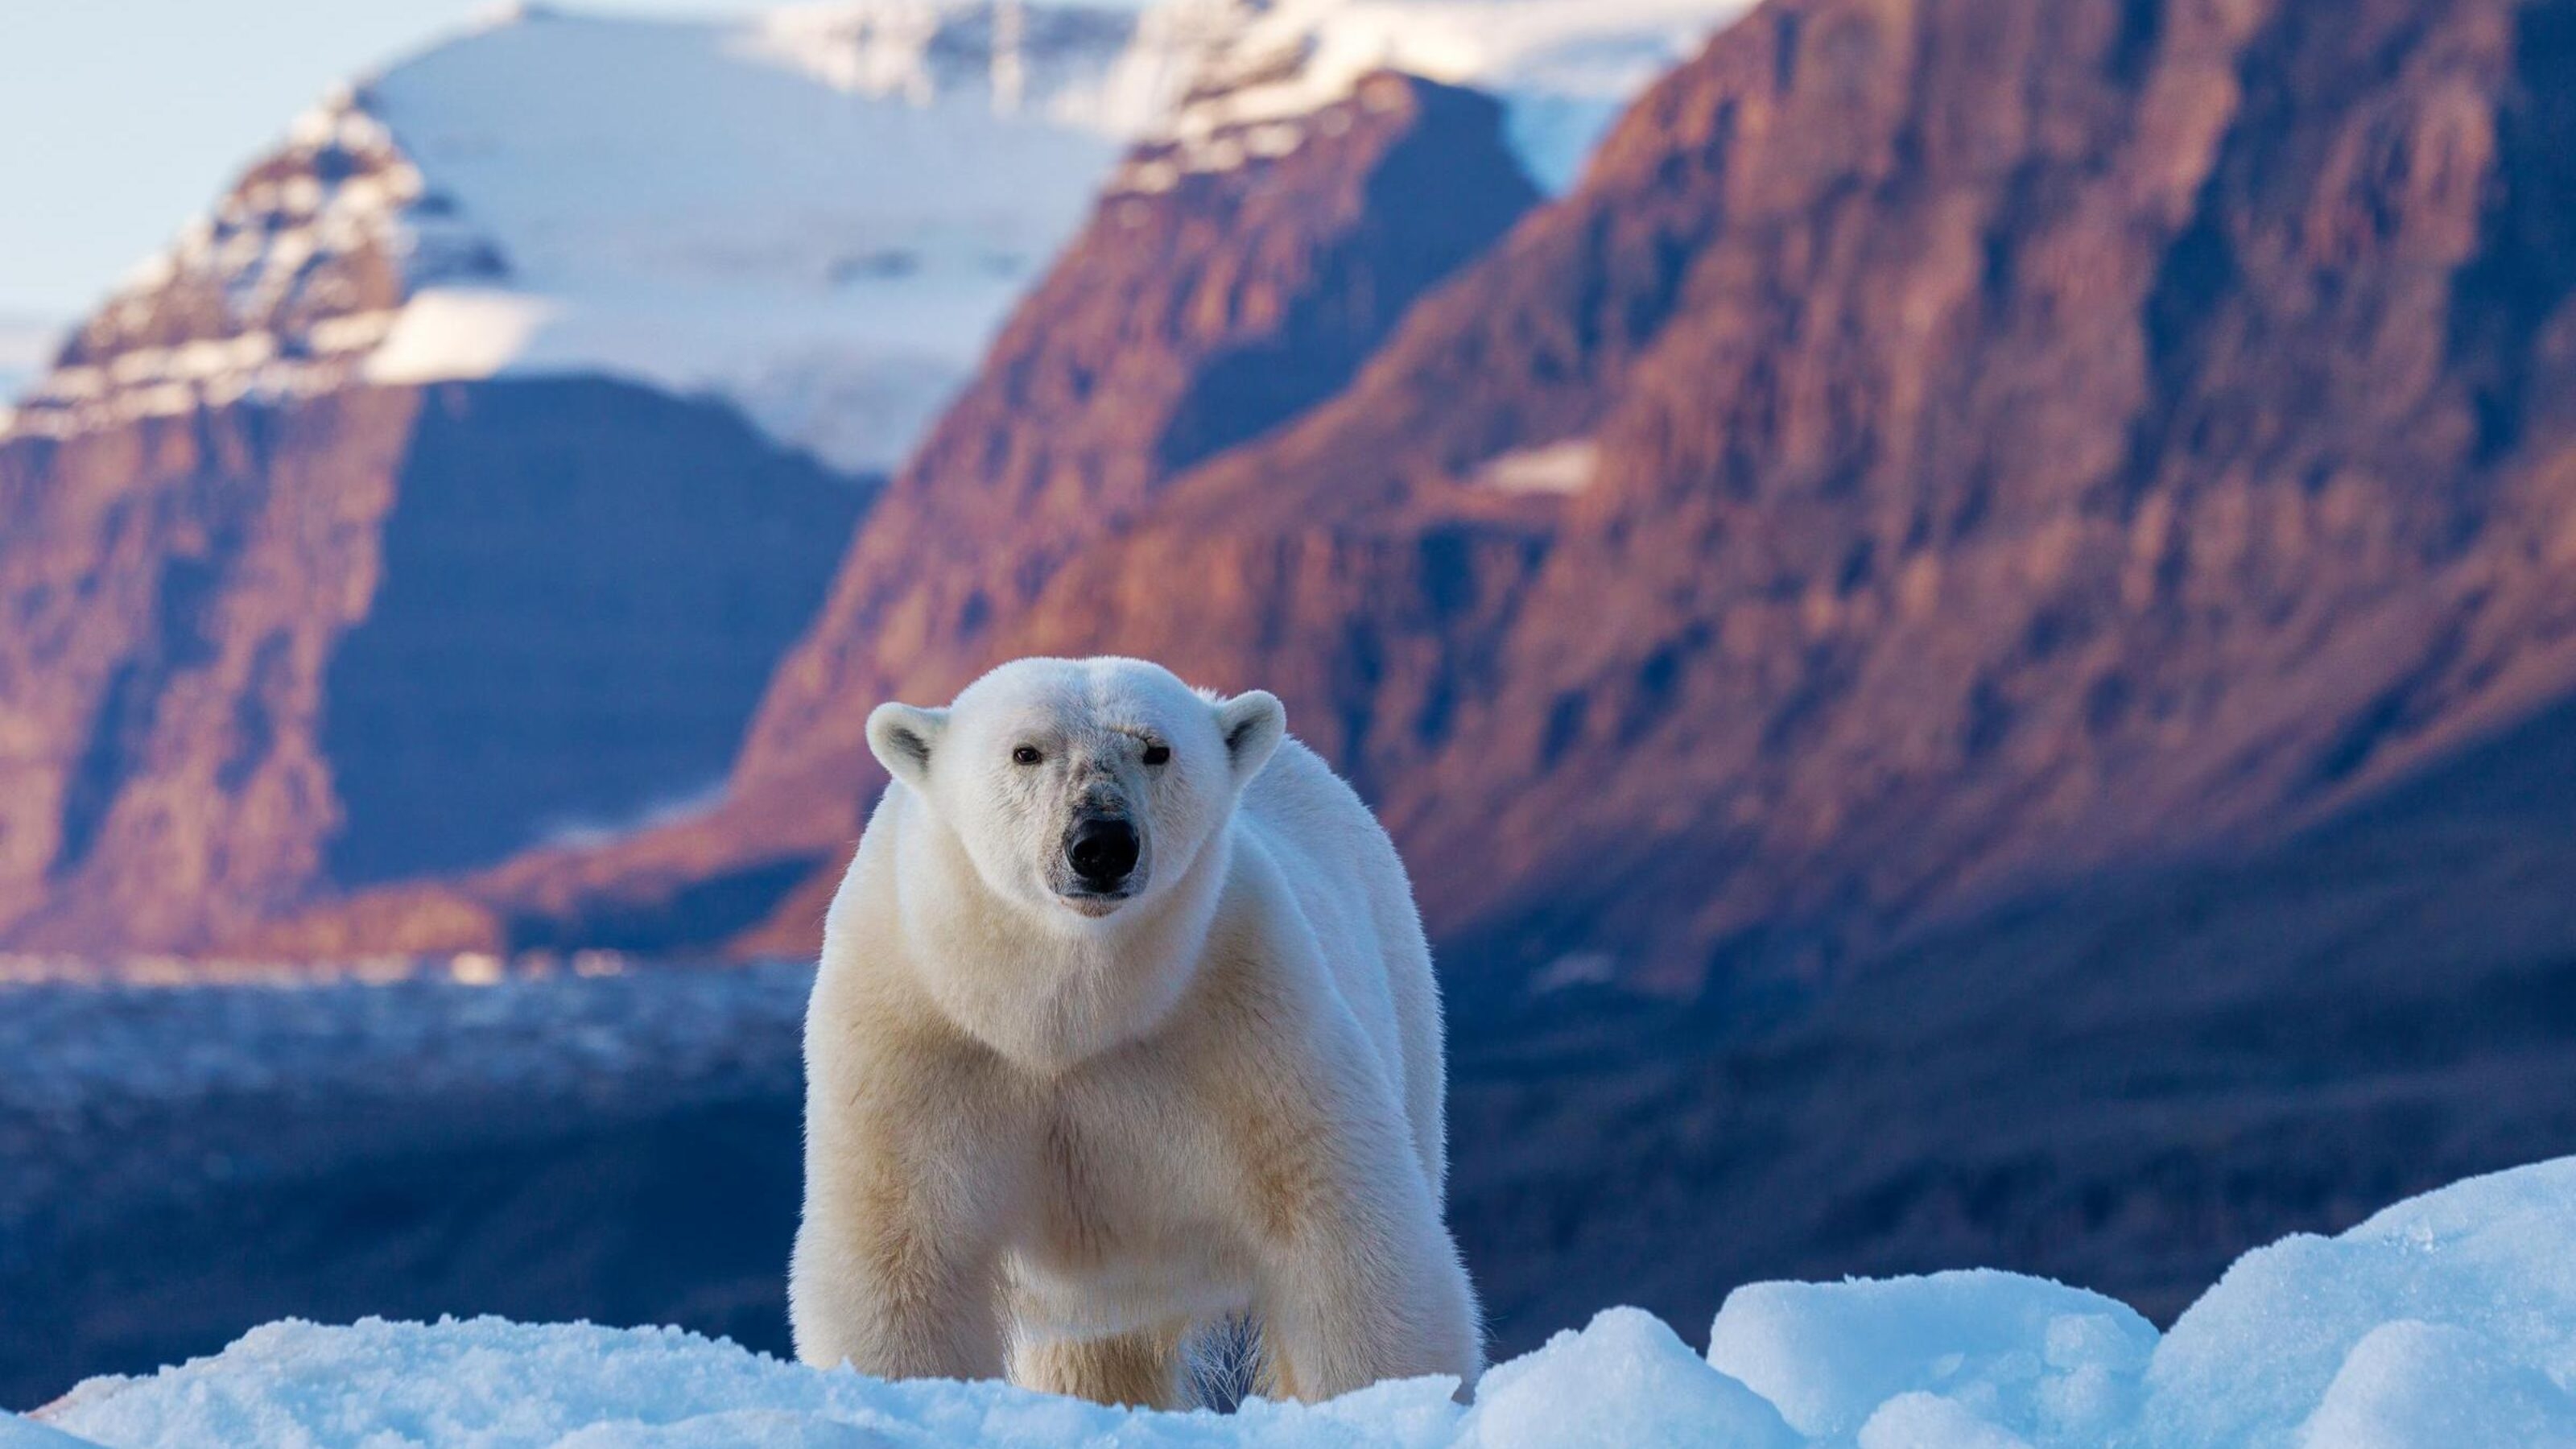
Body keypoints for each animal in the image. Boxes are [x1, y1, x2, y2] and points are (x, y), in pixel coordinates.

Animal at [788, 655, 1483, 1407]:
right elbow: (901, 1257)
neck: (1067, 1018)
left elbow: (1342, 1235)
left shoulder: (1249, 1015)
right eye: (1026, 751)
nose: (1101, 844)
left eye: (1157, 750)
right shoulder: (916, 1040)